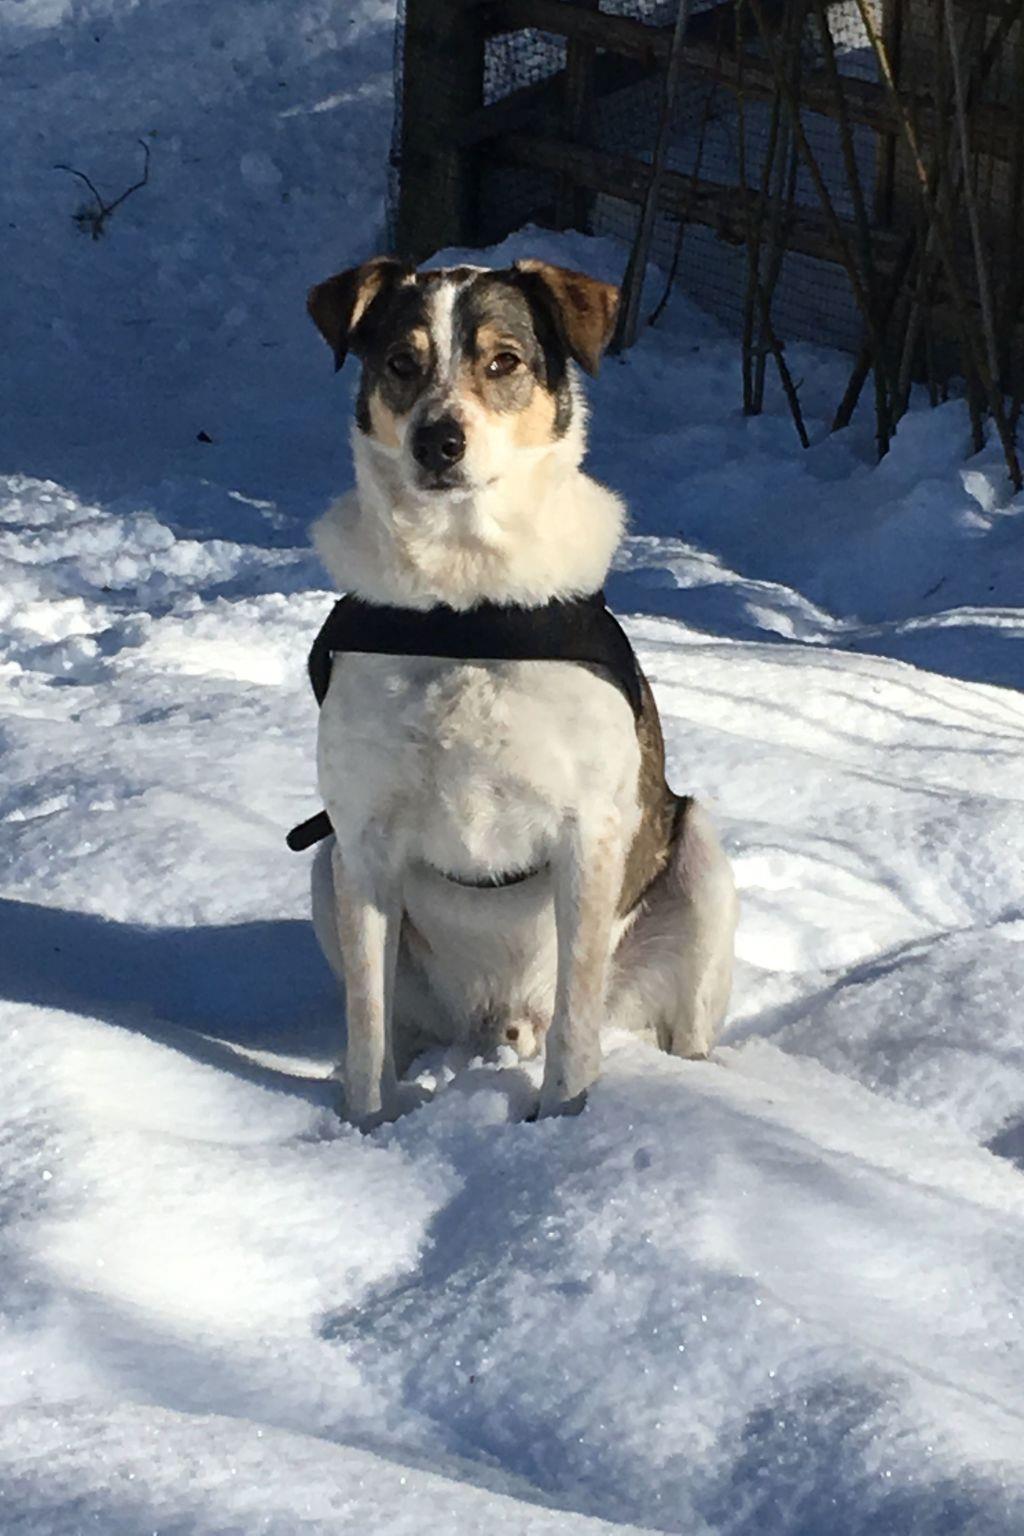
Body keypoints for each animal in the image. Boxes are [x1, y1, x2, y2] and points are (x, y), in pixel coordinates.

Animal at [304, 255, 738, 1126]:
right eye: (400, 362)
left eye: (503, 361)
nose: (439, 440)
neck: (466, 607)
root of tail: (502, 1021)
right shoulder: (361, 835)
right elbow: (367, 1019)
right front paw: (368, 1131)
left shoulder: (589, 833)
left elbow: (577, 1019)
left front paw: (562, 1124)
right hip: (324, 869)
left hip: (700, 855)